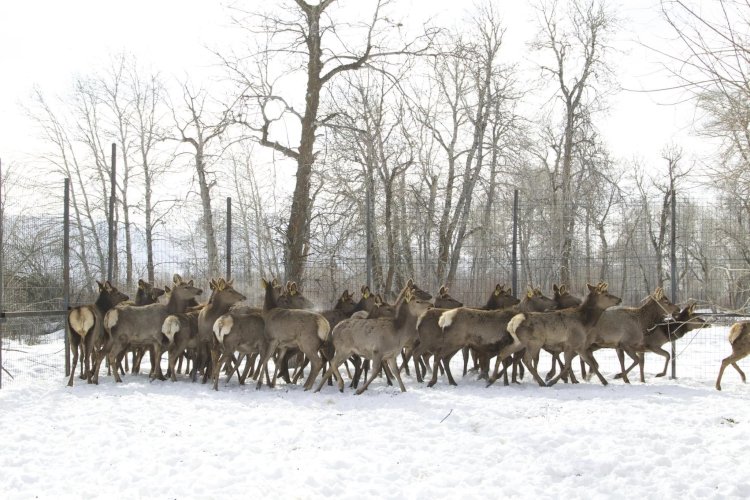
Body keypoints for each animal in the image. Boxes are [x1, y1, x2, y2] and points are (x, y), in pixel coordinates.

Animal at [488, 284, 624, 388]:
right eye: (606, 294)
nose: (619, 299)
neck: (585, 323)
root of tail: (512, 323)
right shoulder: (572, 343)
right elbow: (570, 365)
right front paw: (552, 381)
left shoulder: (577, 346)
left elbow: (588, 363)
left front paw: (603, 381)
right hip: (534, 342)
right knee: (526, 360)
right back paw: (541, 382)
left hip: (518, 342)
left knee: (502, 354)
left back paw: (491, 380)